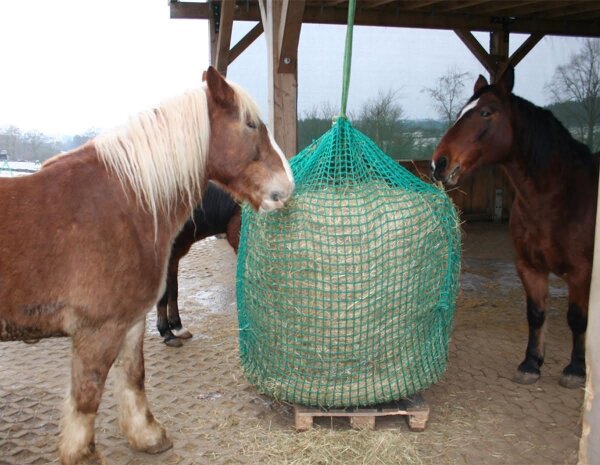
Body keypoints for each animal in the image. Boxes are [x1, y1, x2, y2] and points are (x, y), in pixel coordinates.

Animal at [432, 65, 596, 390]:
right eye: (460, 112)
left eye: (486, 112)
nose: (439, 162)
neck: (556, 197)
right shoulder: (528, 265)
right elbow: (535, 313)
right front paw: (531, 363)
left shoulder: (582, 270)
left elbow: (577, 318)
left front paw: (575, 369)